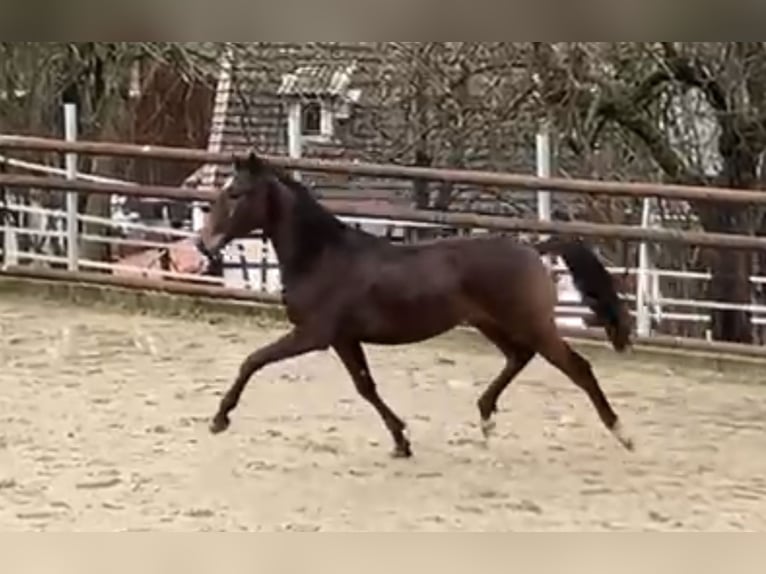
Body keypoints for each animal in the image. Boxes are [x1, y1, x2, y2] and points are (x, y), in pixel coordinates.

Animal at [196, 152, 636, 460]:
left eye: (235, 194)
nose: (203, 244)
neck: (321, 256)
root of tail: (532, 250)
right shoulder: (343, 339)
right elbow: (365, 387)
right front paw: (401, 441)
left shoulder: (314, 334)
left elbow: (253, 360)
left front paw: (220, 419)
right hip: (492, 323)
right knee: (519, 357)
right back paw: (486, 416)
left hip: (532, 324)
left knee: (577, 367)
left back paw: (622, 433)